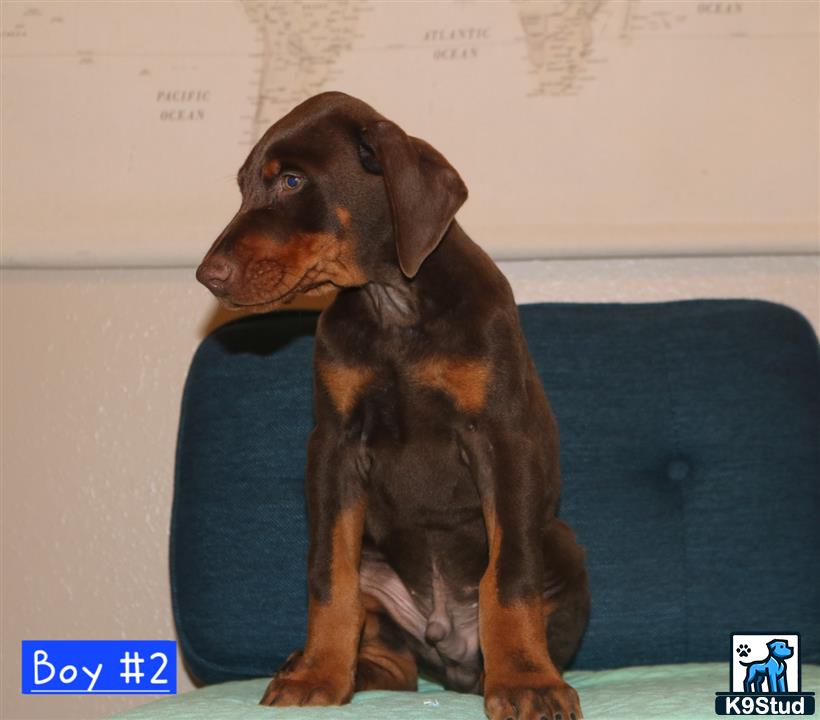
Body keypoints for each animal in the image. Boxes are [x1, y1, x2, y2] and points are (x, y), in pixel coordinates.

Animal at [199, 94, 588, 720]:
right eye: (243, 187)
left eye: (291, 180)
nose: (207, 276)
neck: (395, 303)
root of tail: (451, 650)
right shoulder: (333, 446)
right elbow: (327, 577)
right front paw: (319, 672)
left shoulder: (502, 438)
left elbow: (509, 577)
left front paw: (529, 683)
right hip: (375, 567)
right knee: (395, 664)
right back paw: (334, 667)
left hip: (562, 543)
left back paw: (510, 670)